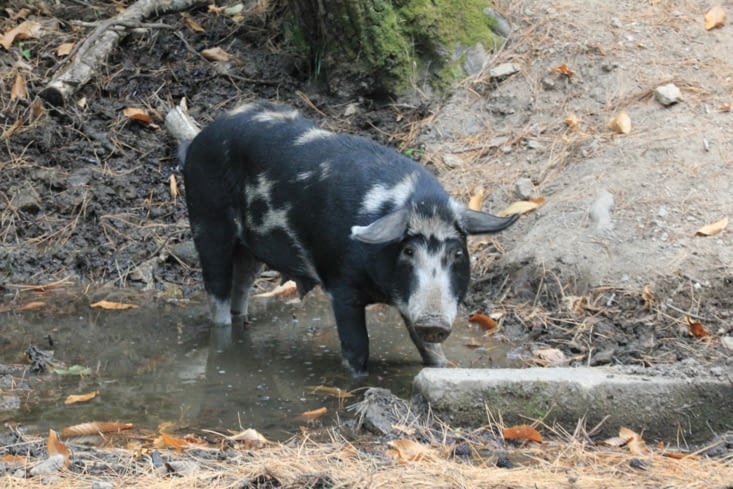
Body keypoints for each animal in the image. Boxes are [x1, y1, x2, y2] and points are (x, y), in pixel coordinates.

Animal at [180, 101, 518, 377]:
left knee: (241, 289)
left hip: (249, 251)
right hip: (207, 221)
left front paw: (441, 365)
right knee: (217, 294)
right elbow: (357, 348)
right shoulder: (340, 285)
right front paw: (358, 379)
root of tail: (200, 137)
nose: (434, 322)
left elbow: (430, 351)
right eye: (408, 251)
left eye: (458, 253)